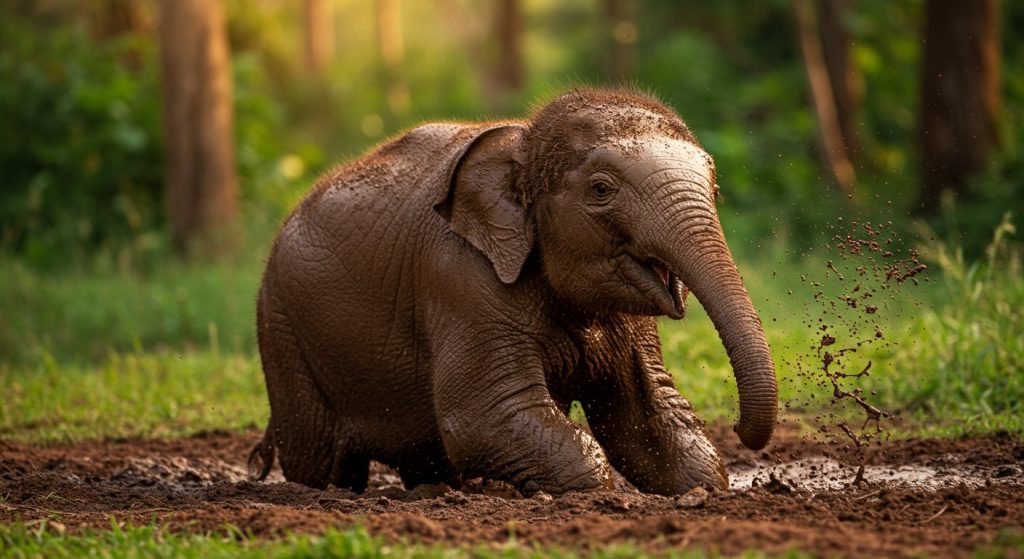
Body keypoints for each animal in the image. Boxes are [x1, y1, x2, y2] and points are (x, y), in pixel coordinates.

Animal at [248, 89, 777, 496]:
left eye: (713, 184)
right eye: (600, 189)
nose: (737, 427)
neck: (524, 141)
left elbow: (650, 421)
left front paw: (703, 489)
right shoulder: (458, 278)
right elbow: (483, 416)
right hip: (282, 329)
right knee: (323, 460)